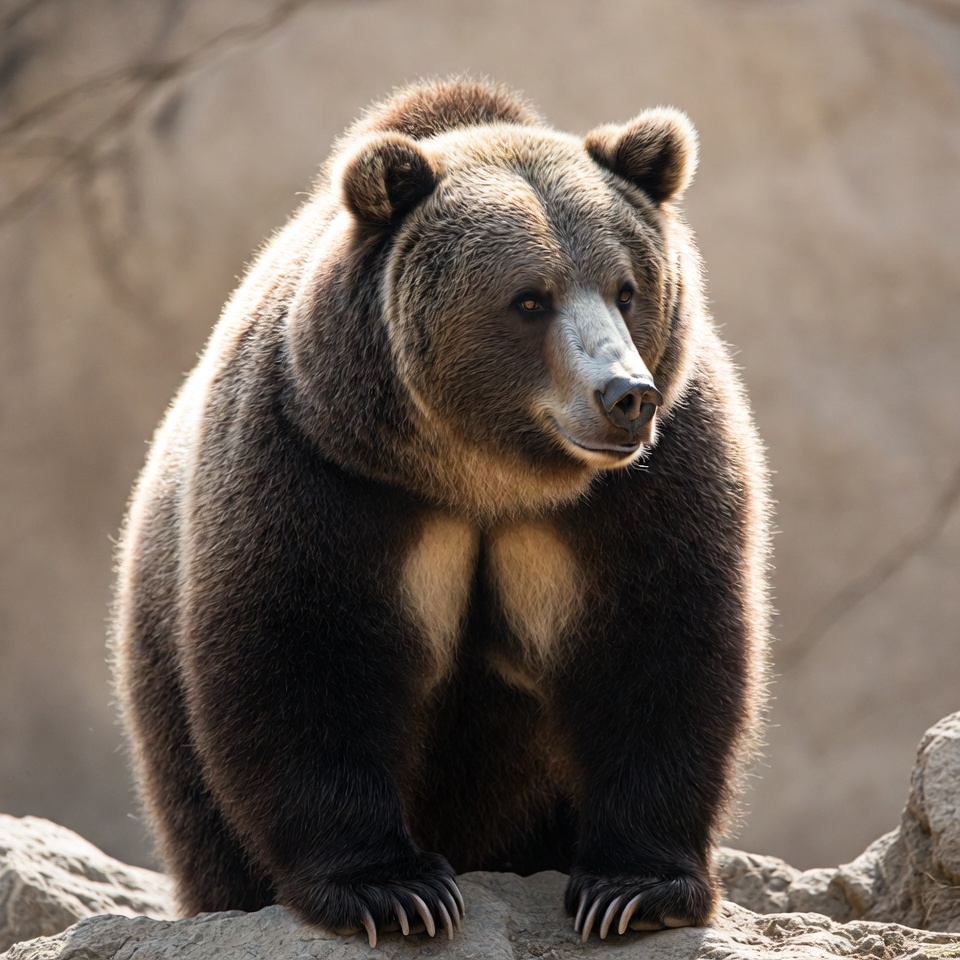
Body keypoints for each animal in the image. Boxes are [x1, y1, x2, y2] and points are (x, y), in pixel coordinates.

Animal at [111, 78, 770, 947]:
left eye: (627, 289)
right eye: (530, 298)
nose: (626, 396)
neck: (490, 480)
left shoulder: (645, 489)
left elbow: (661, 646)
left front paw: (633, 888)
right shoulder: (323, 469)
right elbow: (304, 654)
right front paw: (393, 890)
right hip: (164, 707)